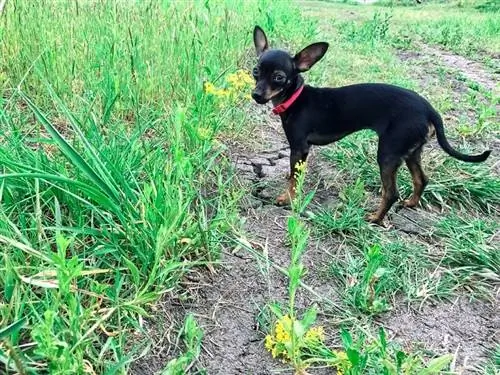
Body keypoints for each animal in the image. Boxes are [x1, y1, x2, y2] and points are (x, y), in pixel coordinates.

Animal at [252, 27, 490, 226]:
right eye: (255, 71)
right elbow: (295, 175)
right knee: (421, 179)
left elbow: (294, 179)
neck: (295, 98)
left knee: (391, 193)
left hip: (388, 154)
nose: (255, 94)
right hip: (411, 152)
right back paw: (411, 203)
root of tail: (429, 109)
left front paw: (286, 198)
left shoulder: (299, 148)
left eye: (279, 77)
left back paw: (376, 218)